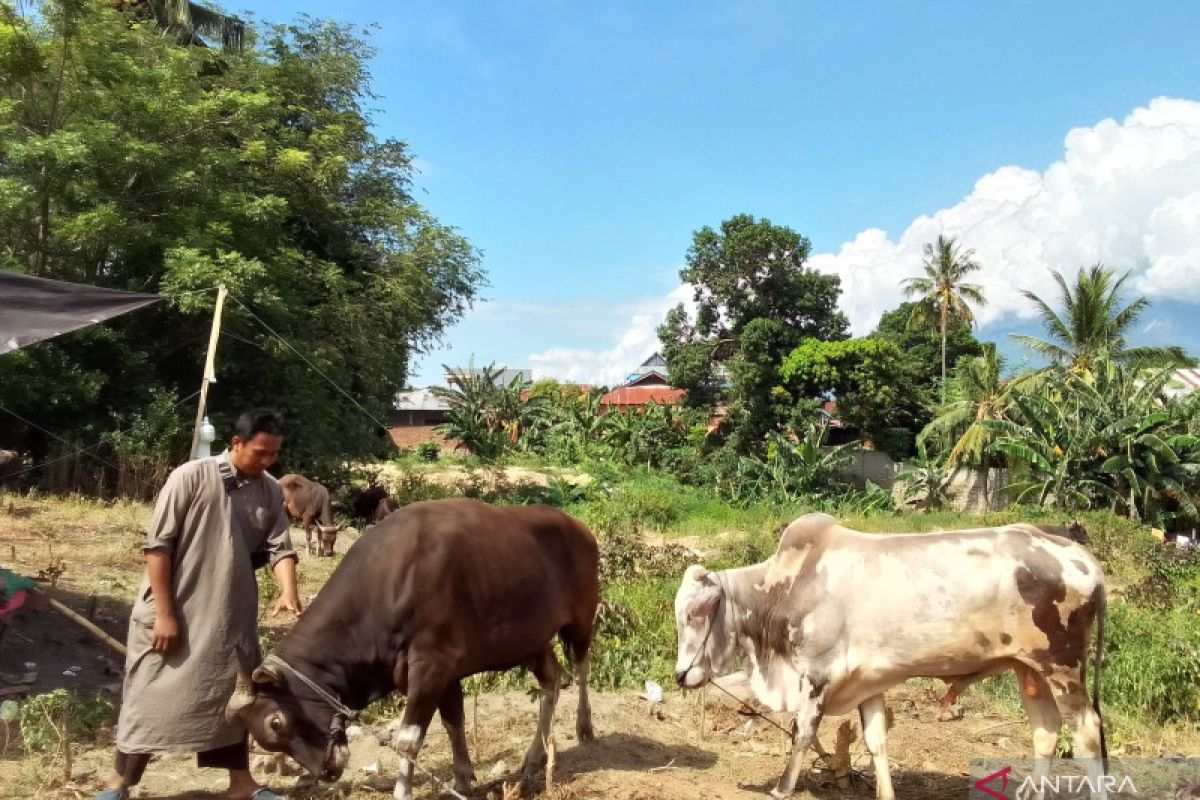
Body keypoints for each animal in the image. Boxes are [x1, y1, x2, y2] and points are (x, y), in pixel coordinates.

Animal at [225, 496, 600, 796]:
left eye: (276, 723)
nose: (326, 771)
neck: (387, 585)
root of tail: (580, 528)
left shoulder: (430, 667)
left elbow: (408, 739)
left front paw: (403, 791)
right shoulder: (447, 672)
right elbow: (454, 722)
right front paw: (463, 778)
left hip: (582, 617)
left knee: (581, 666)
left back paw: (585, 727)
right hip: (531, 640)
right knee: (551, 680)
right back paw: (534, 757)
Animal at [676, 513, 1104, 800]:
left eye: (694, 613)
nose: (681, 676)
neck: (791, 586)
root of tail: (1083, 557)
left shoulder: (816, 677)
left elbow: (802, 734)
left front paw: (782, 789)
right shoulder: (868, 682)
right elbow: (876, 741)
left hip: (1063, 667)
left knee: (1087, 734)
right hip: (1028, 669)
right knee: (1046, 731)